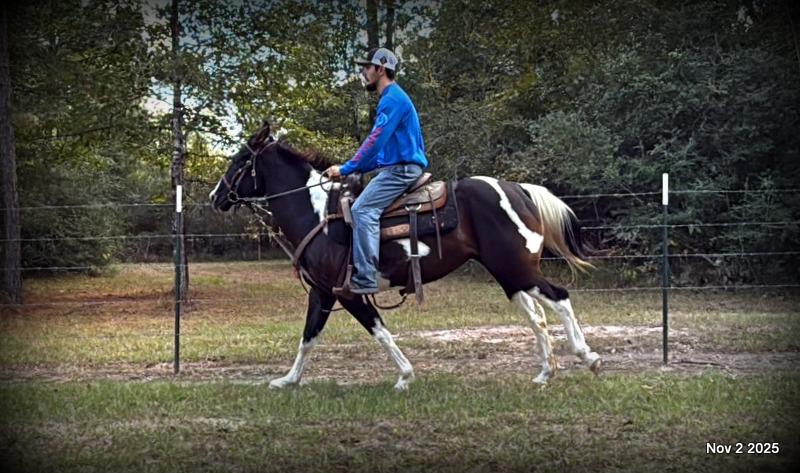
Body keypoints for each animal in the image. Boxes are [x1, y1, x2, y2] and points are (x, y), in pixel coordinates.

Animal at [209, 122, 601, 390]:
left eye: (240, 160)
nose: (215, 197)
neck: (317, 214)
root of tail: (519, 190)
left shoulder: (347, 293)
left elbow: (379, 331)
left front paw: (405, 376)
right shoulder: (322, 292)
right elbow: (308, 337)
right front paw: (288, 380)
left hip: (517, 270)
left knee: (560, 299)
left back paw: (588, 358)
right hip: (509, 274)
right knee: (537, 316)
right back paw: (545, 372)